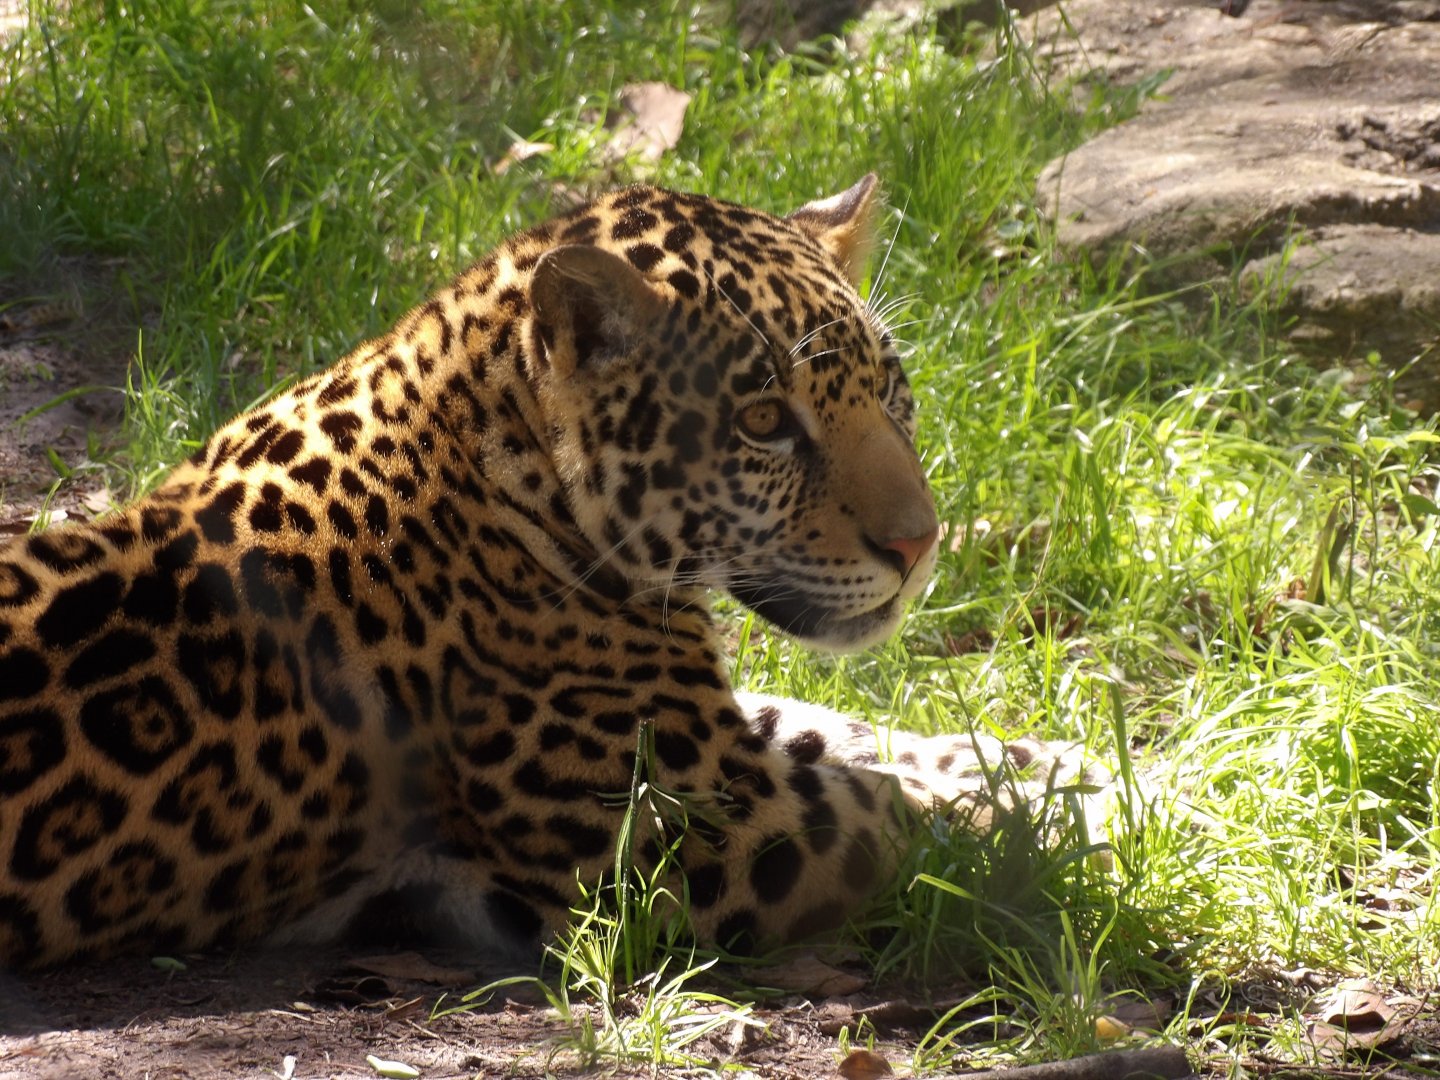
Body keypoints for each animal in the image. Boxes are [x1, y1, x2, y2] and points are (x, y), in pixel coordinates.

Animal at [0, 176, 1072, 970]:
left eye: (890, 391)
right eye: (764, 421)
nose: (919, 545)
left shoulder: (707, 733)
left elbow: (844, 731)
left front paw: (1049, 760)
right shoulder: (696, 833)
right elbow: (908, 816)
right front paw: (1059, 827)